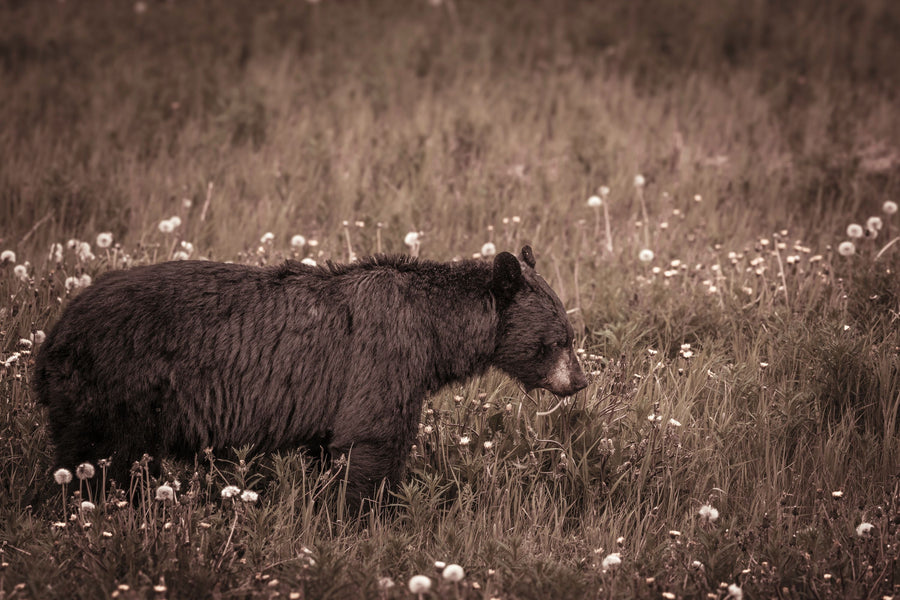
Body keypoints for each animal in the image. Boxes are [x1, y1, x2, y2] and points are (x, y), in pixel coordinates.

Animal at [34, 246, 587, 510]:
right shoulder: (384, 357)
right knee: (93, 461)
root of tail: (53, 333)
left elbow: (332, 451)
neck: (435, 331)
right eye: (561, 339)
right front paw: (372, 519)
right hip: (113, 387)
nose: (580, 382)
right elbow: (373, 441)